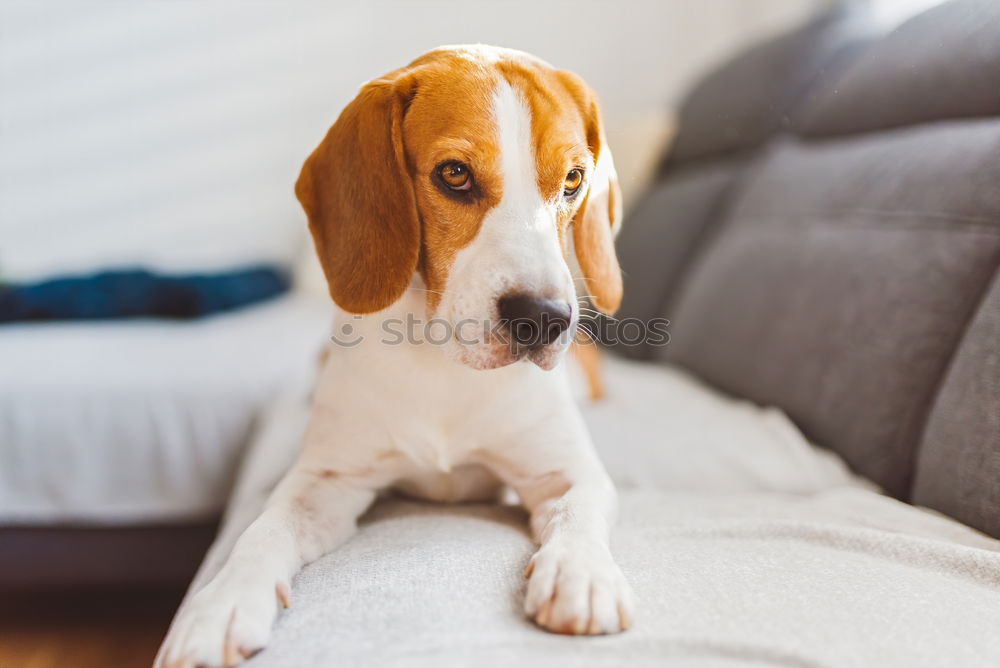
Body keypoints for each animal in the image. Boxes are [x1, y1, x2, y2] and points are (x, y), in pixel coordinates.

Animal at [156, 47, 632, 668]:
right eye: (454, 174)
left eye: (574, 180)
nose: (546, 318)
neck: (444, 362)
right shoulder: (326, 481)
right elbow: (262, 531)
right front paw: (221, 605)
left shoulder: (565, 473)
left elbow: (582, 511)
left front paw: (584, 575)